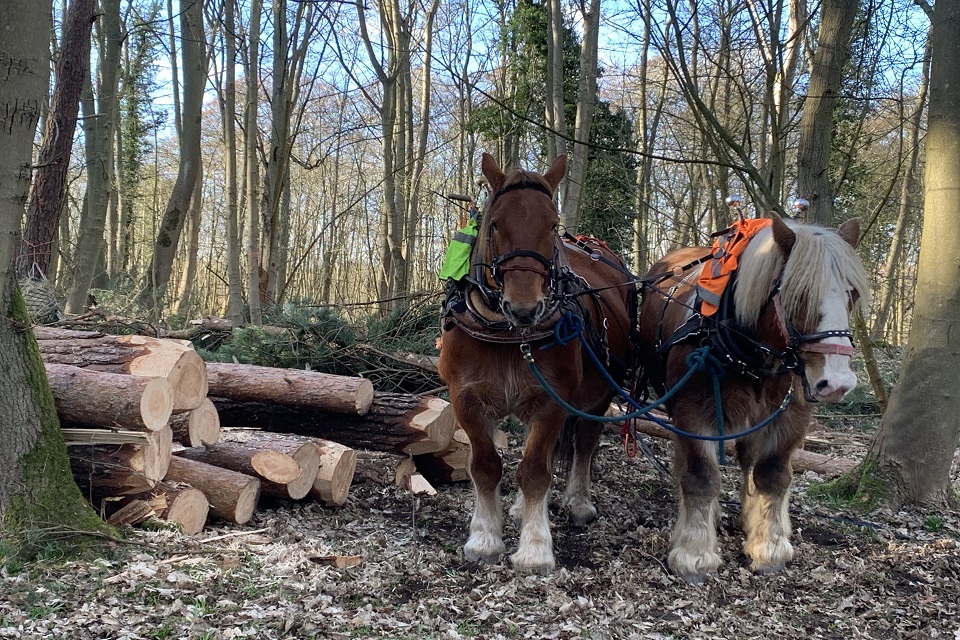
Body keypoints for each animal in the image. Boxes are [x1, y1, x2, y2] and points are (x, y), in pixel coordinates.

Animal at [442, 152, 636, 572]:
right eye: (495, 223)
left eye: (552, 225)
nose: (525, 308)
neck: (508, 334)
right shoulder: (465, 398)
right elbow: (486, 466)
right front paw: (484, 538)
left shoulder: (553, 400)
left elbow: (534, 471)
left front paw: (534, 548)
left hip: (596, 395)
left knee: (584, 441)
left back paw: (578, 501)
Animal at [636, 212, 872, 584]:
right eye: (799, 294)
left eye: (851, 293)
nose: (837, 382)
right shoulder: (693, 412)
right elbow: (701, 476)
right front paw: (694, 552)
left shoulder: (790, 416)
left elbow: (772, 475)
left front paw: (769, 545)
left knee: (749, 461)